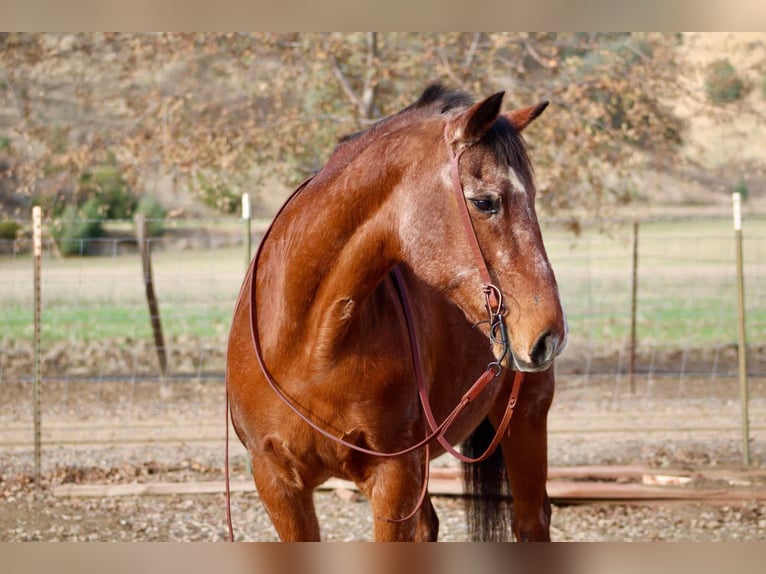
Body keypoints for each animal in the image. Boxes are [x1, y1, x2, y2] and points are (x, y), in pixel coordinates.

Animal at [226, 83, 567, 542]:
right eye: (484, 202)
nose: (550, 335)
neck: (309, 344)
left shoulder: (393, 478)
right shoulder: (277, 482)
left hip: (526, 420)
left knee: (531, 521)